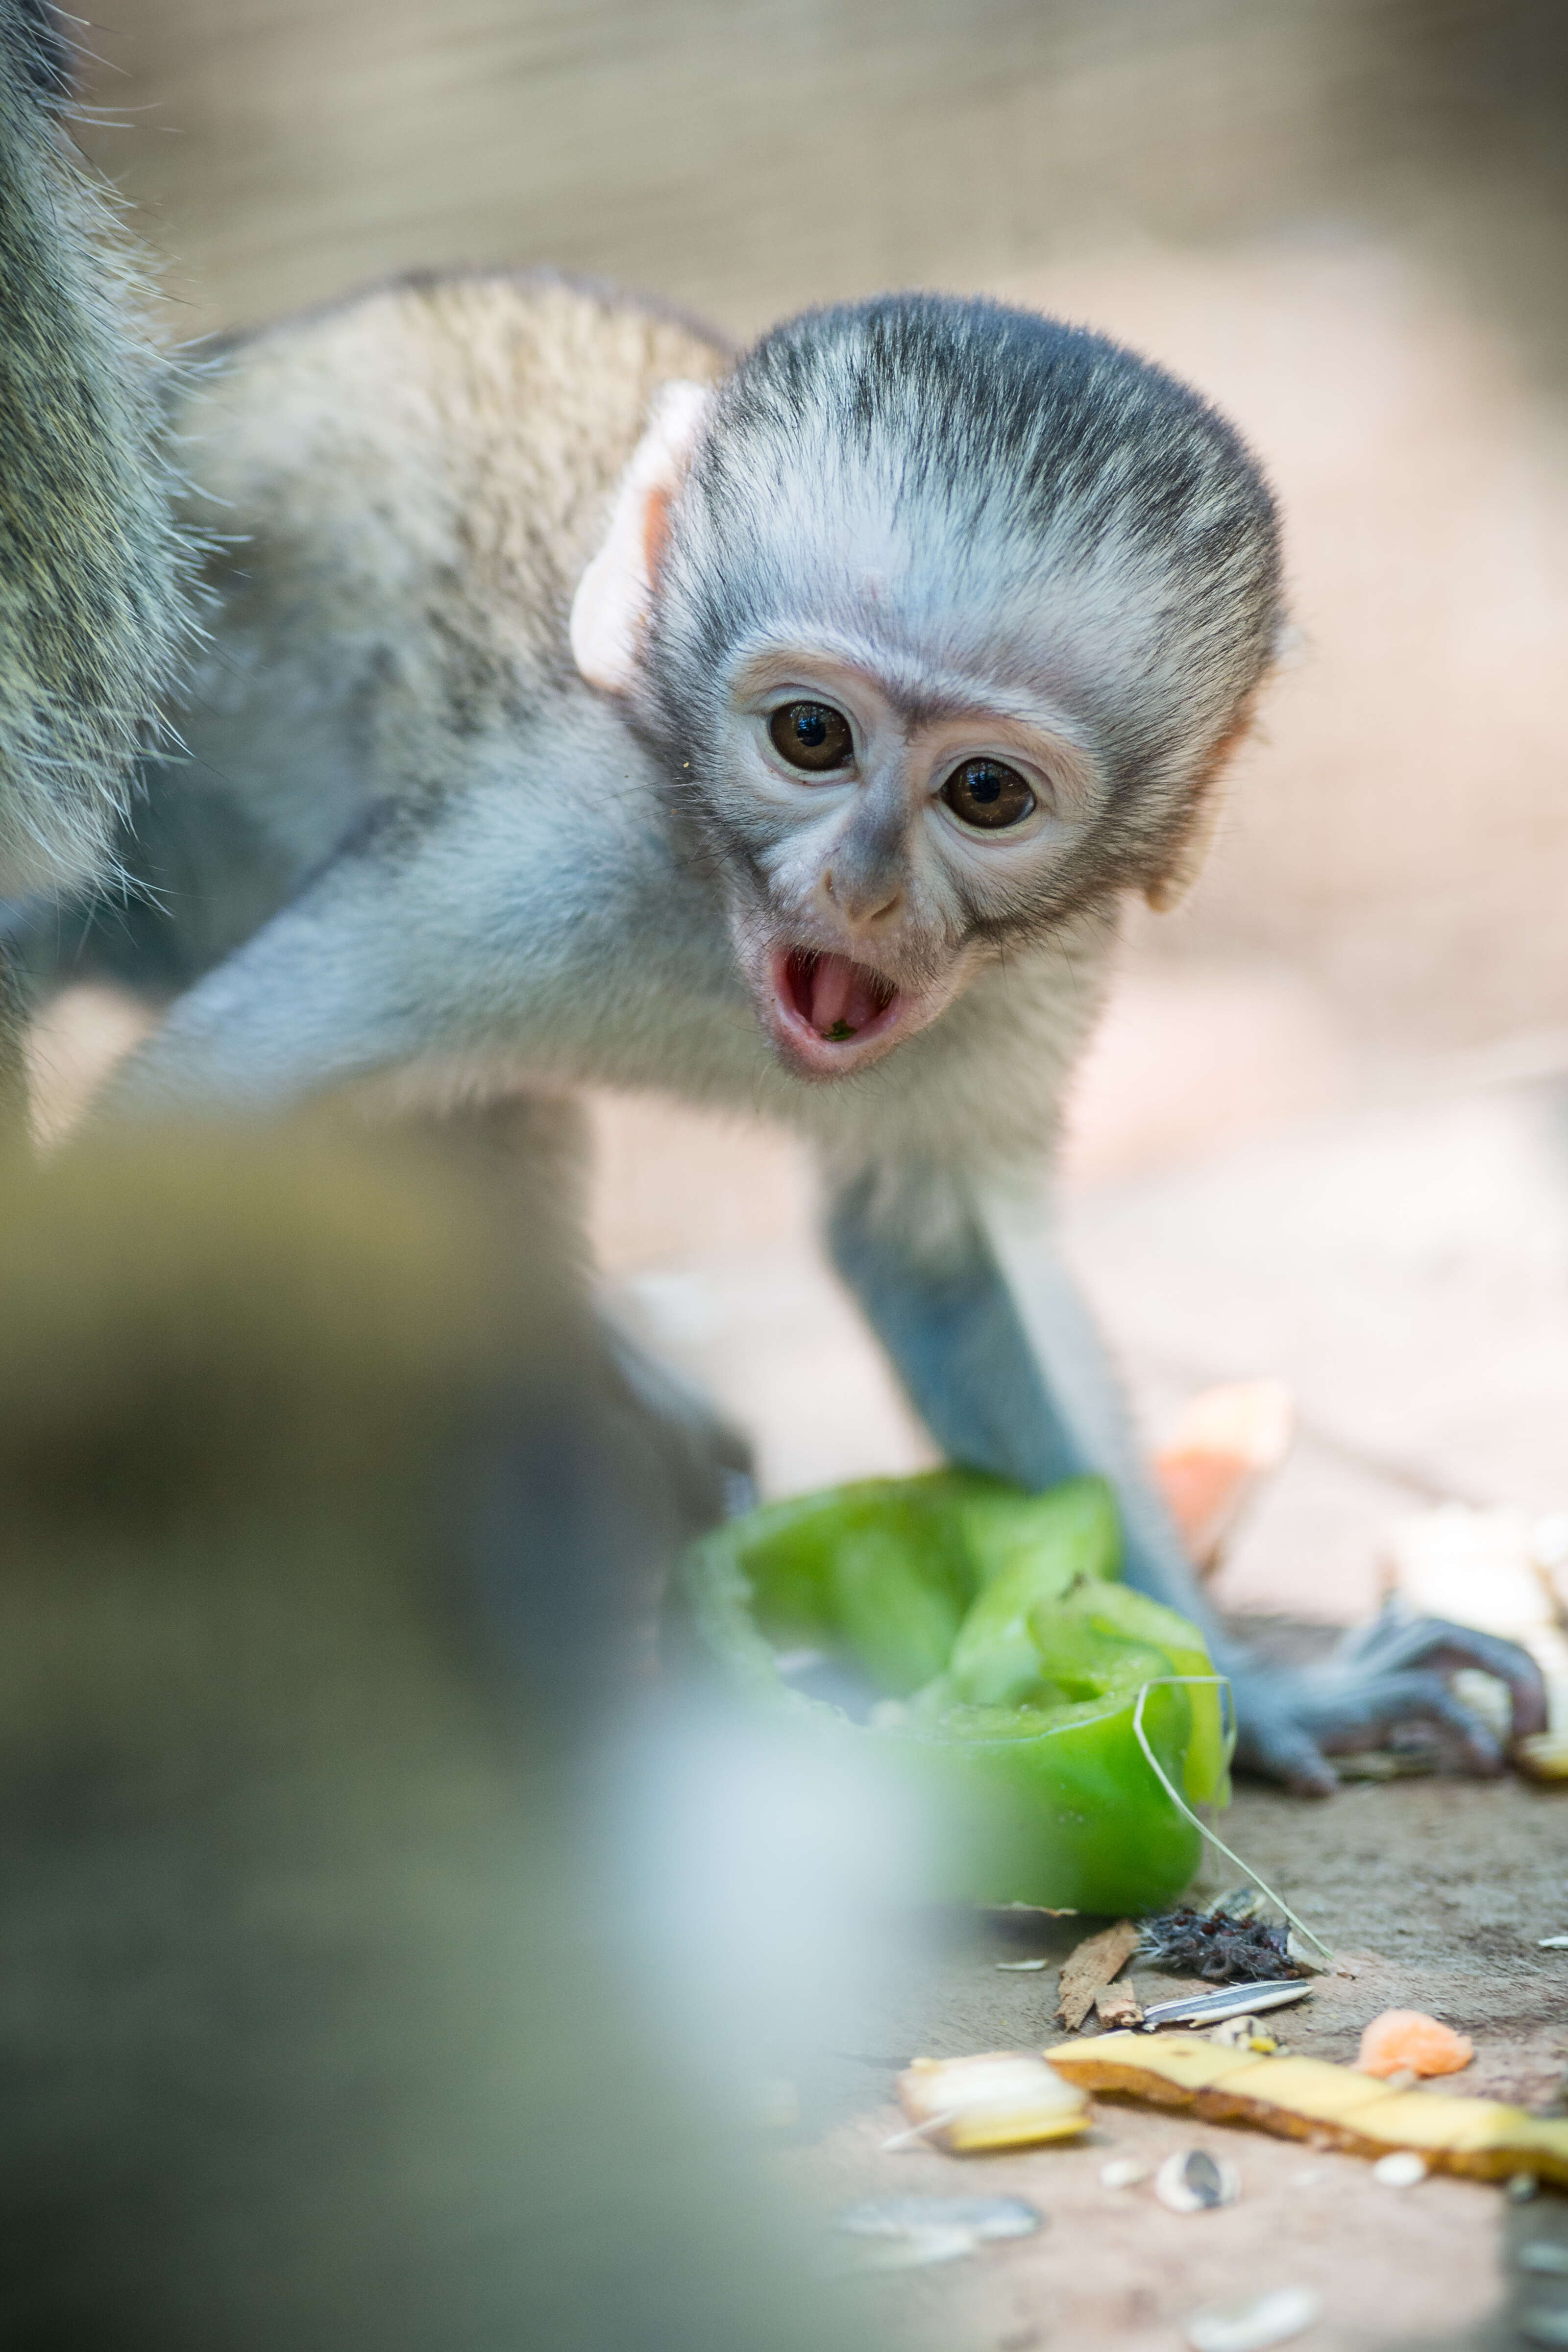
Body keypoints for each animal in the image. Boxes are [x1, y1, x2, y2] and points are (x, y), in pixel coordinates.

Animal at [15, 270, 1542, 1778]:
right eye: (812, 736)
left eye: (984, 793)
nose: (862, 886)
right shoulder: (527, 858)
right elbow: (193, 1127)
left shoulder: (1032, 981)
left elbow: (933, 1248)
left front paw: (1255, 1685)